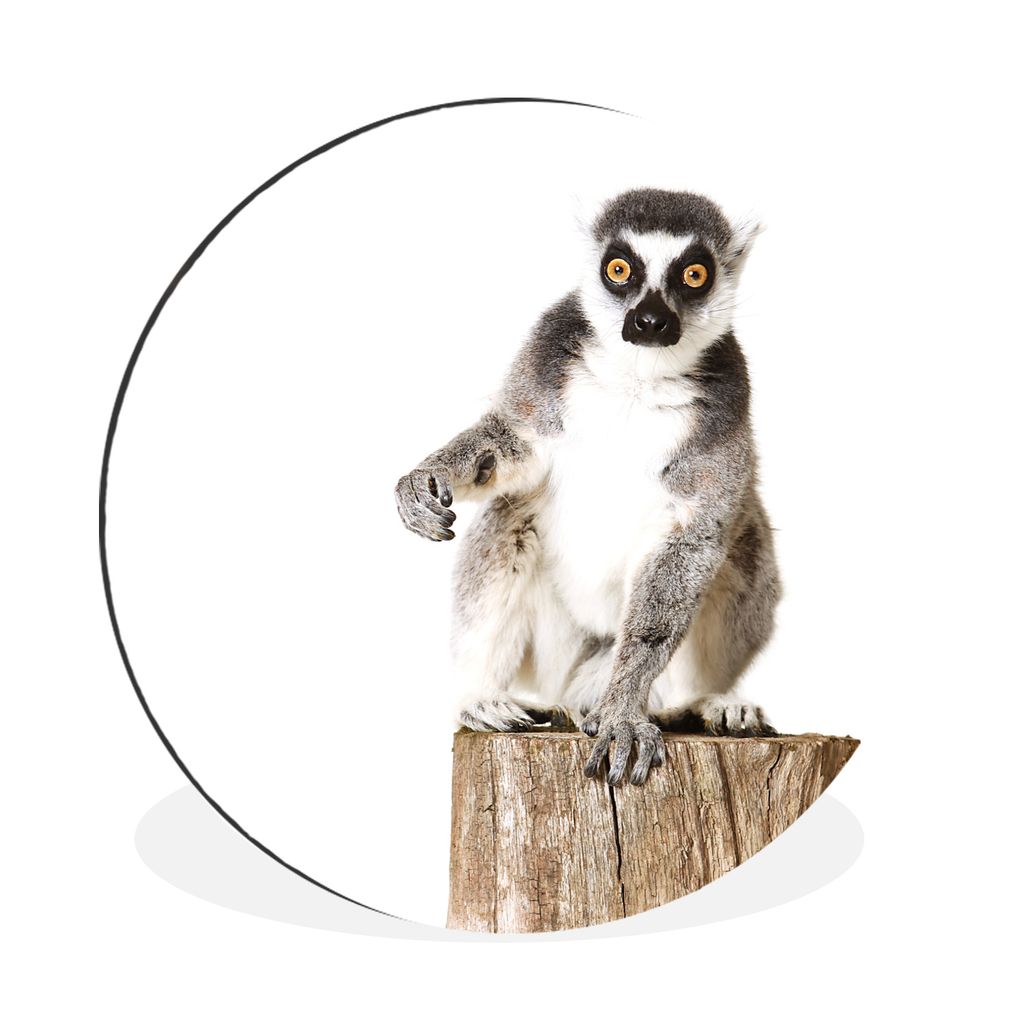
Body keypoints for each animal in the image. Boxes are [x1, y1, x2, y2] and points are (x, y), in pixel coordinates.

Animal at [394, 188, 781, 787]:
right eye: (618, 269)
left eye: (695, 274)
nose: (649, 320)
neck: (639, 376)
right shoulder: (545, 365)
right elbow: (512, 446)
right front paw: (425, 479)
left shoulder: (725, 416)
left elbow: (692, 541)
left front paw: (622, 715)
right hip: (556, 647)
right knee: (510, 517)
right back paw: (482, 698)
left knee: (741, 544)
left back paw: (706, 702)